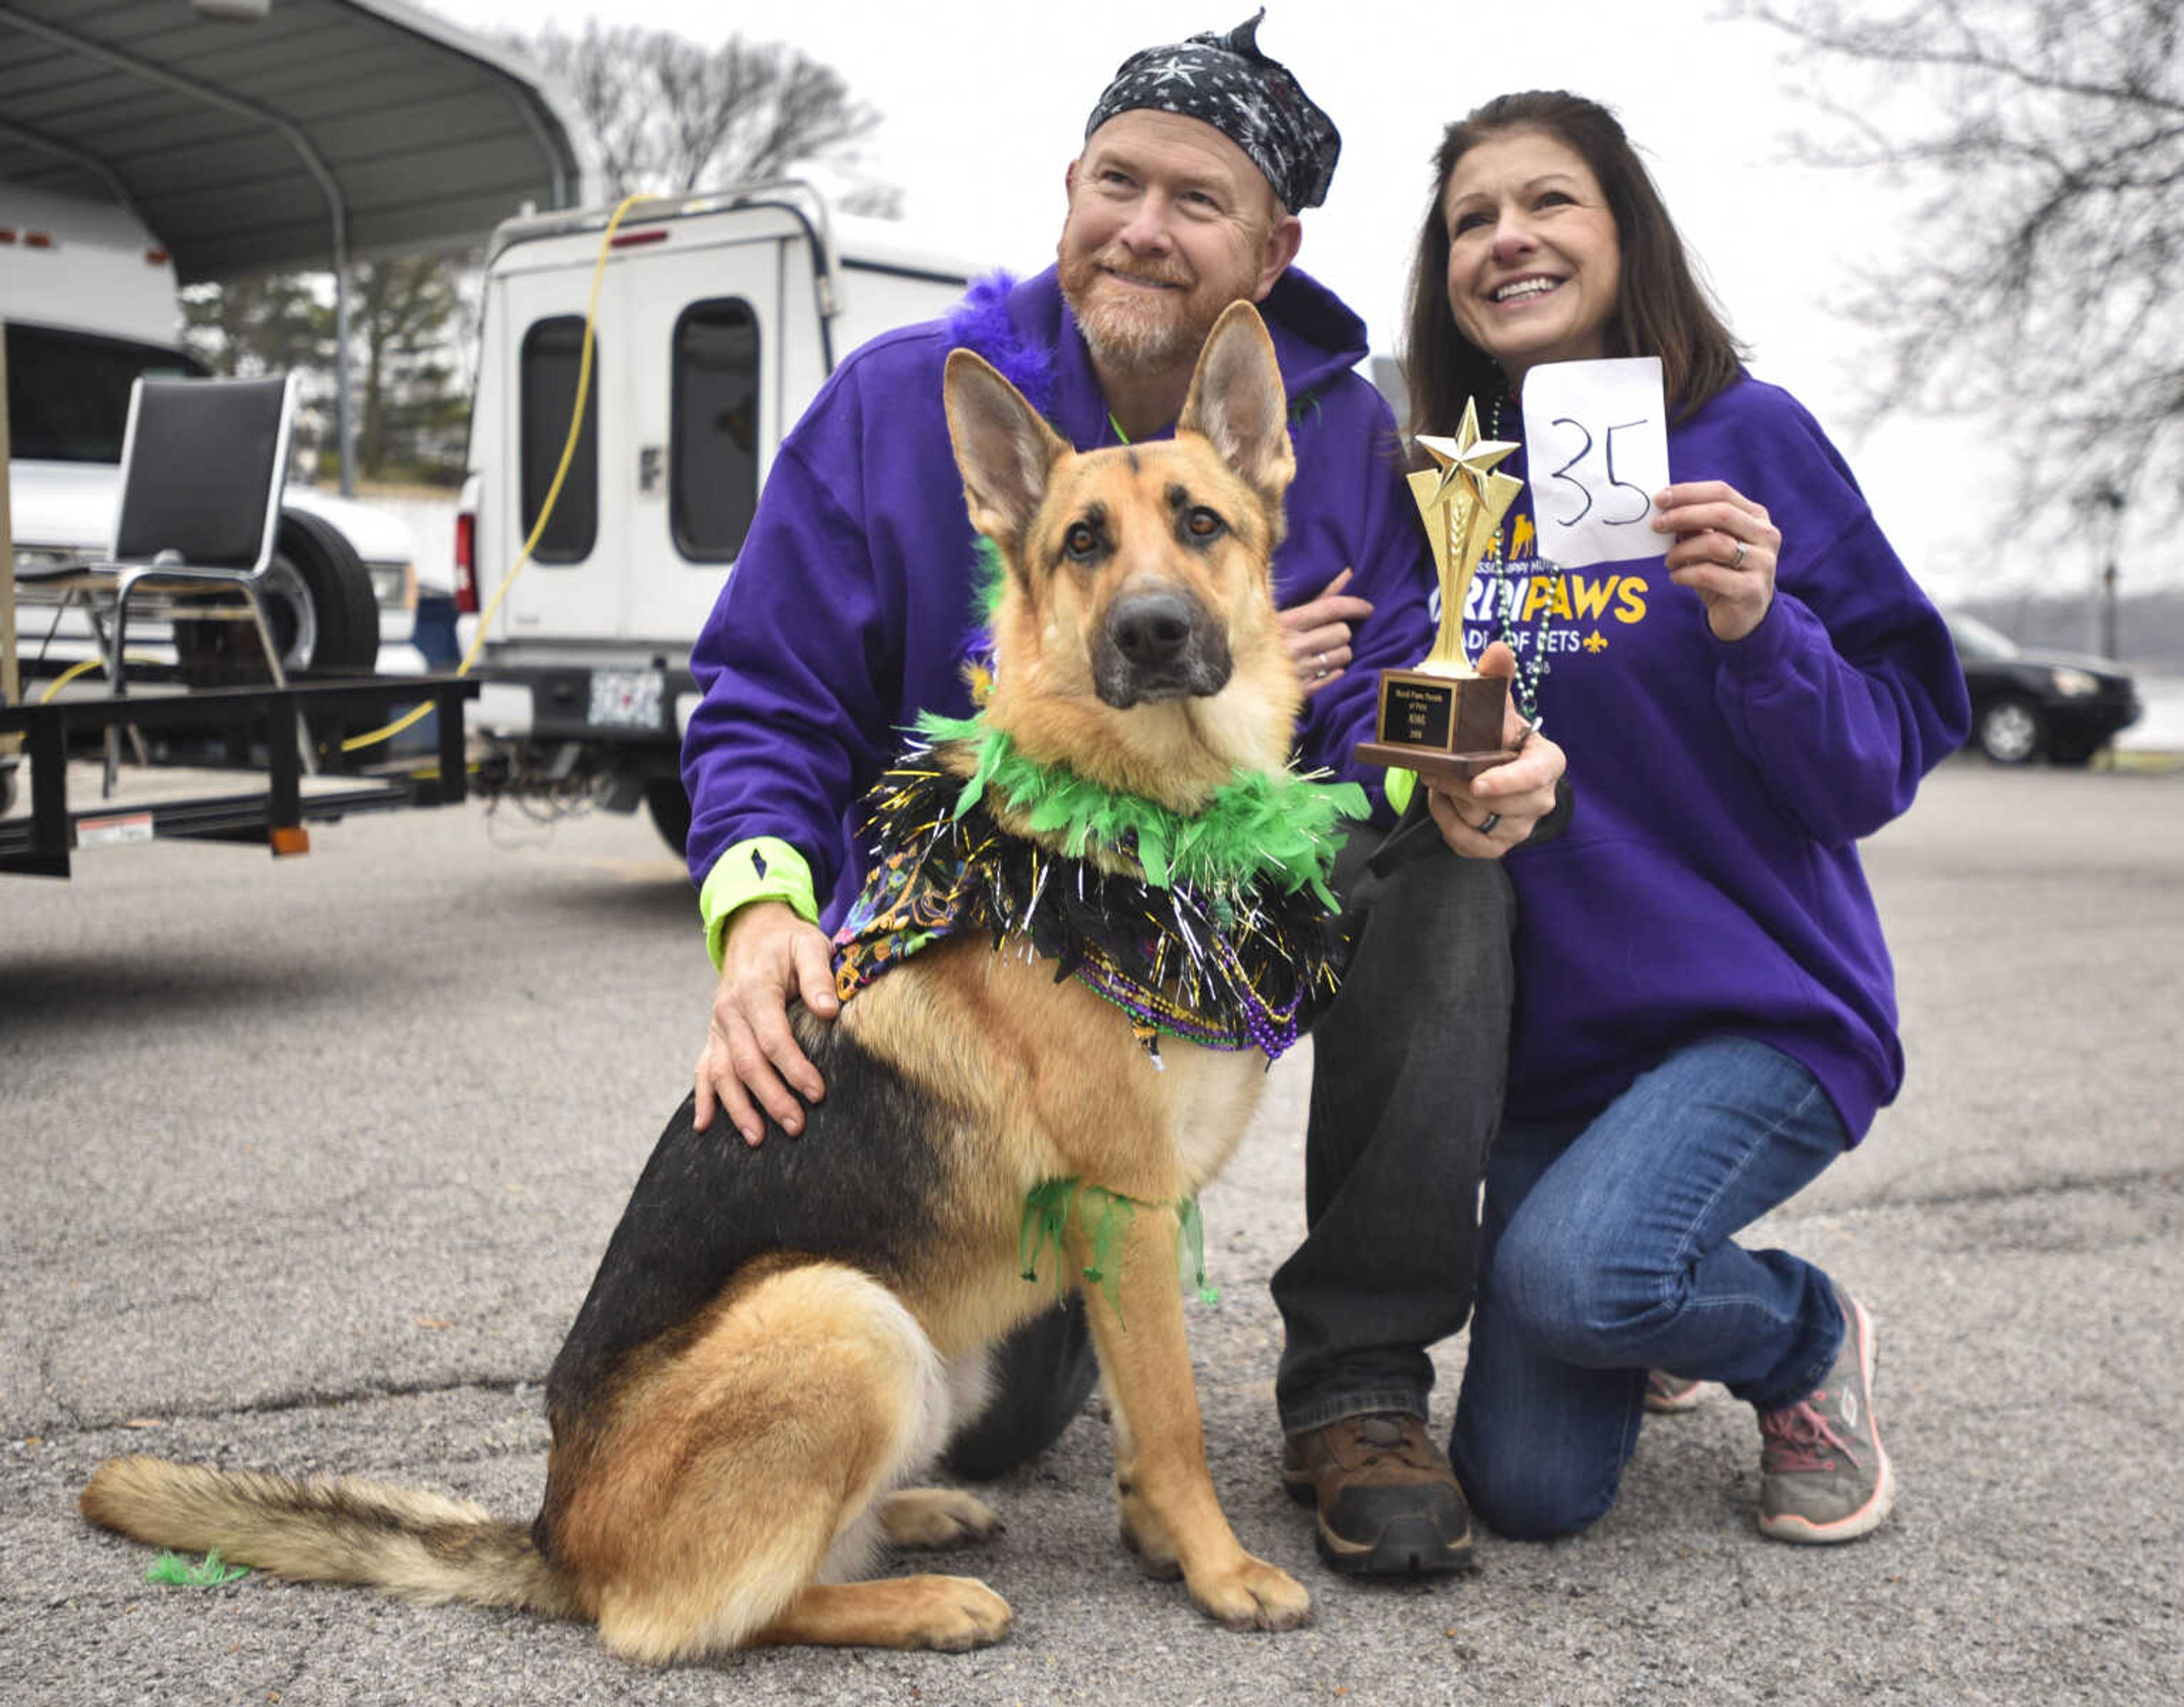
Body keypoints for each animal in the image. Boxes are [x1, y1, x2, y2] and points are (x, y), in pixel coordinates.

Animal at [81, 301, 1327, 1667]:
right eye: (1084, 543)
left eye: (1200, 523)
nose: (1153, 630)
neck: (1134, 837)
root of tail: (559, 1536)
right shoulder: (1127, 1212)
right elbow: (1175, 1421)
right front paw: (1220, 1568)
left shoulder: (1136, 1226)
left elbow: (1146, 1426)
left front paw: (1161, 1544)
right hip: (849, 1318)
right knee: (702, 1615)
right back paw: (921, 1597)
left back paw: (918, 1515)